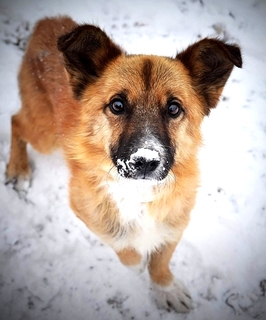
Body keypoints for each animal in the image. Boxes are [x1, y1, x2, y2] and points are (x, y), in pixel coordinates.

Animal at [5, 15, 243, 312]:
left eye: (174, 108)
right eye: (117, 105)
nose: (145, 161)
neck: (137, 192)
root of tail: (49, 21)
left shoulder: (176, 221)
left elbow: (162, 259)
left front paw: (165, 287)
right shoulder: (86, 210)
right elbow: (124, 247)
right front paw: (138, 264)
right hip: (45, 135)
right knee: (16, 121)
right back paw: (18, 169)